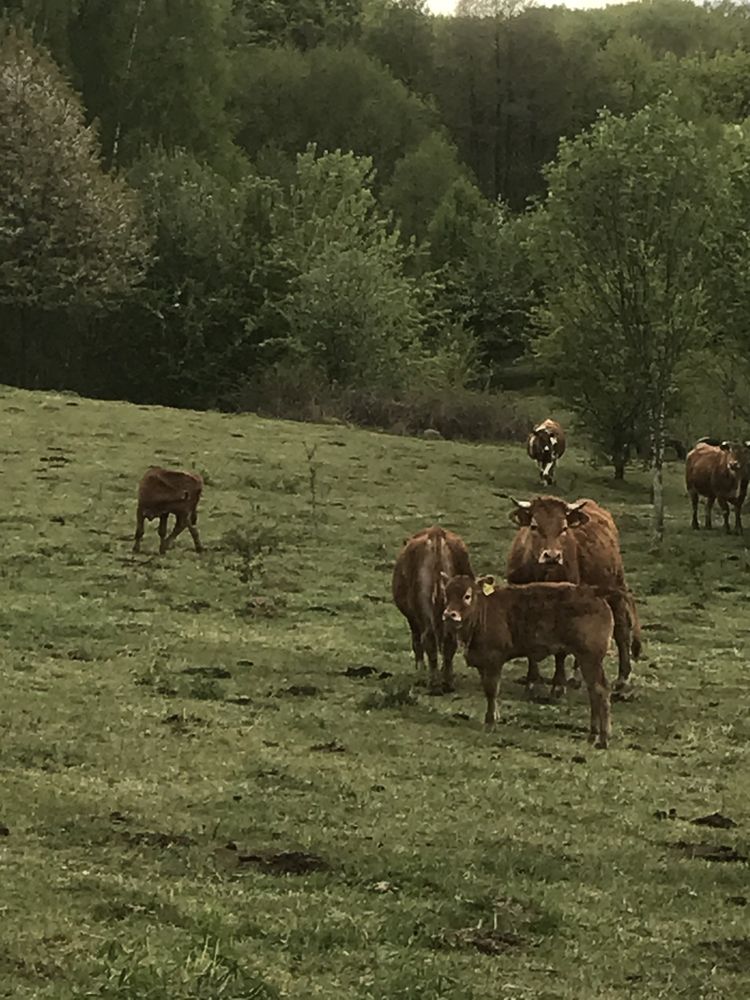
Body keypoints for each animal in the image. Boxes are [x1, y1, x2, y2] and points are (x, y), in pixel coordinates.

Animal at [390, 524, 472, 696]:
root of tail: (436, 532)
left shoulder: (413, 619)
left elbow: (417, 643)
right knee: (449, 642)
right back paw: (447, 682)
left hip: (422, 612)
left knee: (428, 639)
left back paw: (432, 683)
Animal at [444, 576, 612, 748]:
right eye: (446, 594)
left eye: (467, 596)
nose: (449, 614)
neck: (484, 611)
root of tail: (596, 596)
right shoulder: (482, 662)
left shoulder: (494, 659)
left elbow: (492, 690)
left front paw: (490, 722)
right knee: (593, 691)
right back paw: (593, 734)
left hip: (590, 658)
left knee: (600, 690)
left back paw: (603, 738)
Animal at [506, 496, 640, 700]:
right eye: (534, 526)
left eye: (563, 528)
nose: (552, 556)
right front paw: (531, 682)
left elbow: (560, 651)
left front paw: (557, 685)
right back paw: (576, 677)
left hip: (616, 588)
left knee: (621, 630)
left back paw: (622, 679)